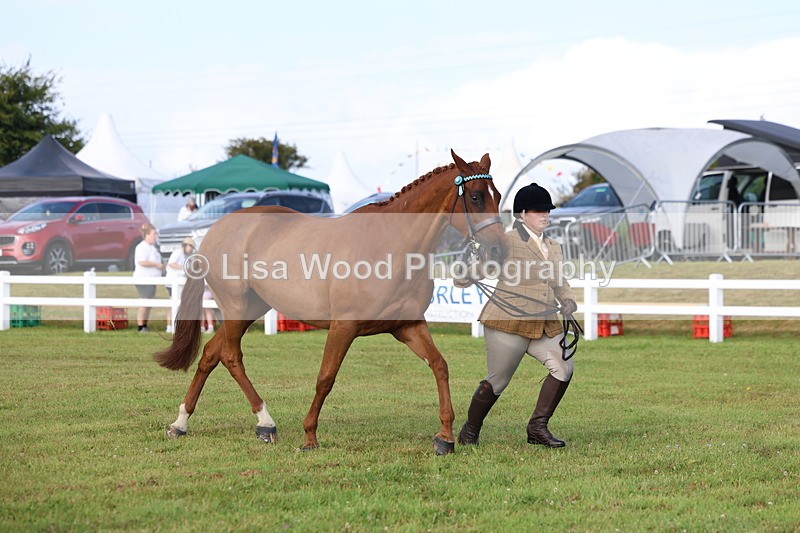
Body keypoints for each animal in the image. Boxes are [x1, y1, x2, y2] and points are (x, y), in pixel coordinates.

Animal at [154, 150, 507, 455]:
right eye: (476, 196)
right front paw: (309, 436)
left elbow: (439, 366)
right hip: (237, 309)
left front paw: (445, 437)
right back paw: (264, 423)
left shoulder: (407, 326)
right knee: (230, 355)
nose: (498, 251)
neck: (390, 247)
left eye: (499, 196)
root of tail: (214, 232)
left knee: (211, 354)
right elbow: (325, 378)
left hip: (250, 309)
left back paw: (183, 423)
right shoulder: (343, 327)